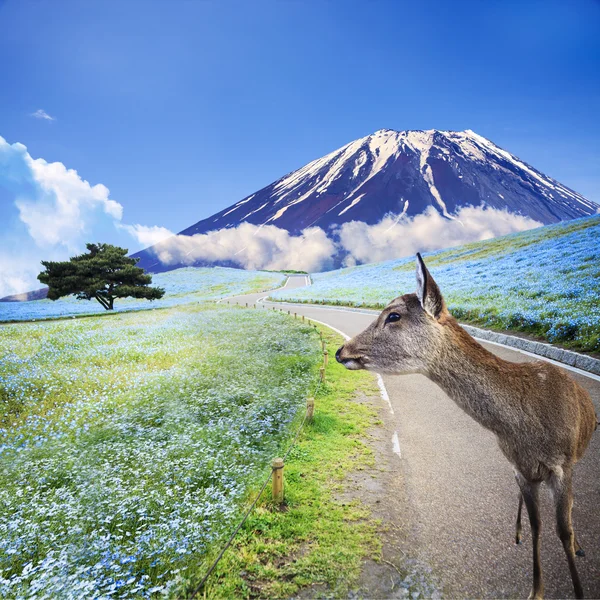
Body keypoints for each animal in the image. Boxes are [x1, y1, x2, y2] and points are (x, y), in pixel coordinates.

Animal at [336, 254, 596, 600]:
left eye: (393, 315)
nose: (341, 351)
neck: (526, 426)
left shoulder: (563, 465)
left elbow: (563, 531)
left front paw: (576, 583)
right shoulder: (520, 468)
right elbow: (537, 525)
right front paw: (535, 590)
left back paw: (578, 545)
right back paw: (516, 533)